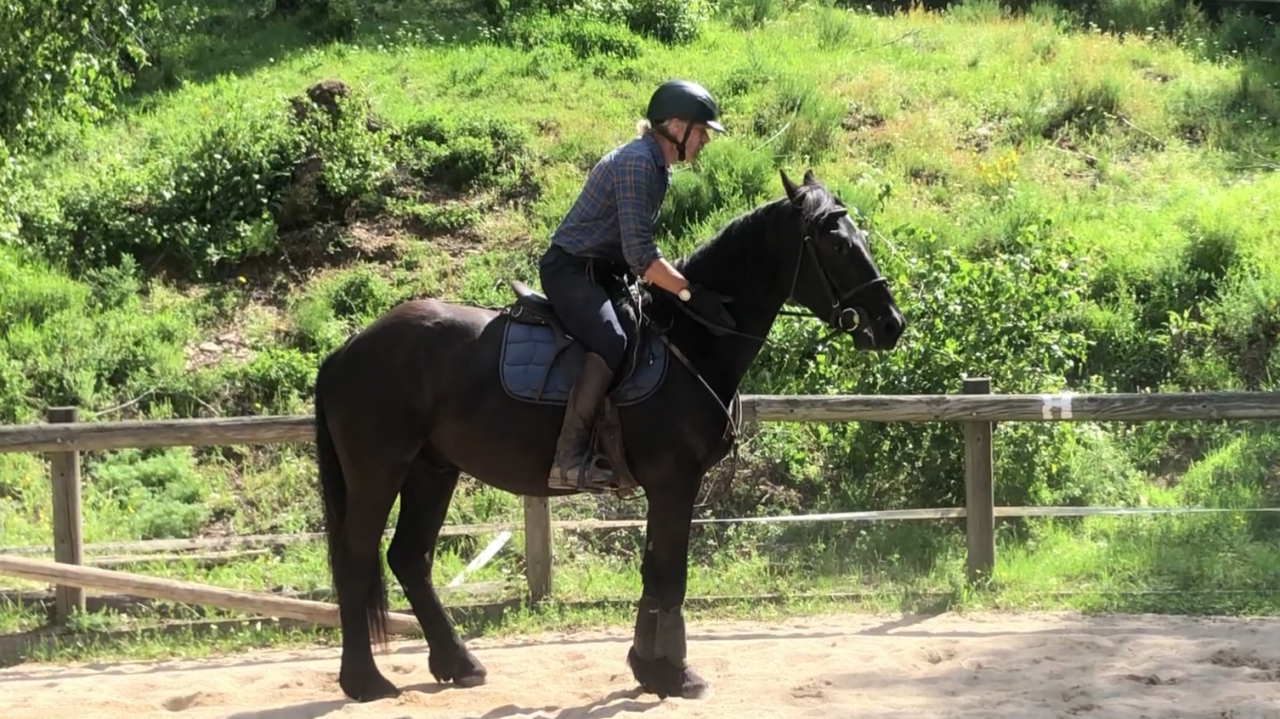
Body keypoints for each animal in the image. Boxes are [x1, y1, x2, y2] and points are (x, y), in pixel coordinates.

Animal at [312, 168, 906, 703]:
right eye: (837, 245)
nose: (890, 324)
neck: (692, 338)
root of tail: (347, 349)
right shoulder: (674, 483)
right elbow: (669, 575)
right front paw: (675, 674)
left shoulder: (664, 488)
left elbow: (652, 573)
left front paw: (648, 667)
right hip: (378, 472)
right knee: (355, 561)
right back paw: (364, 681)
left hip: (432, 471)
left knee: (409, 558)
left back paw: (458, 663)